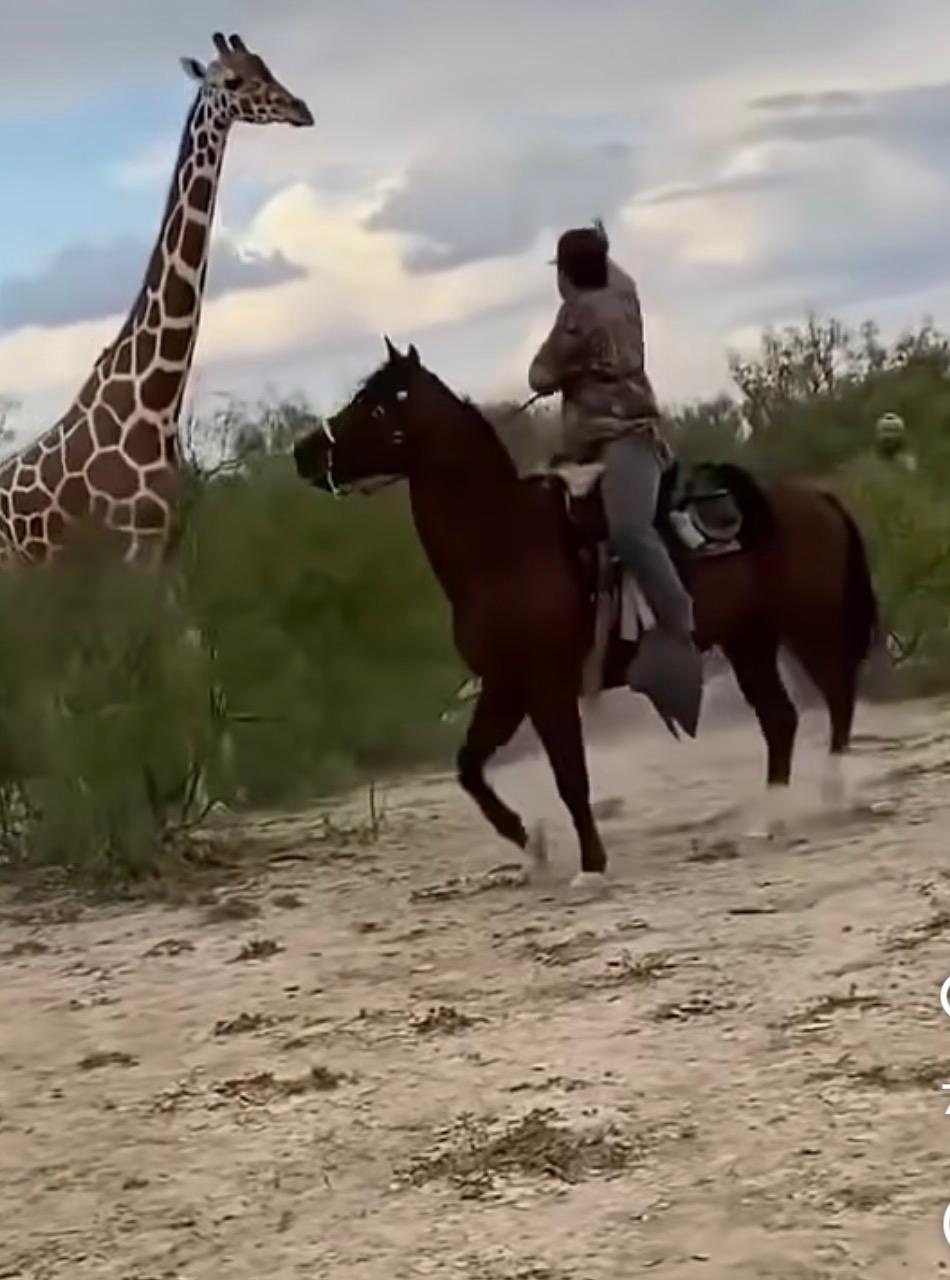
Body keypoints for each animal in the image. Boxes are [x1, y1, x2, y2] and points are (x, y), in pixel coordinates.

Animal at [0, 32, 313, 566]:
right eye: (233, 80)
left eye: (265, 66)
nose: (301, 109)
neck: (155, 404)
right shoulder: (134, 545)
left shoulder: (170, 541)